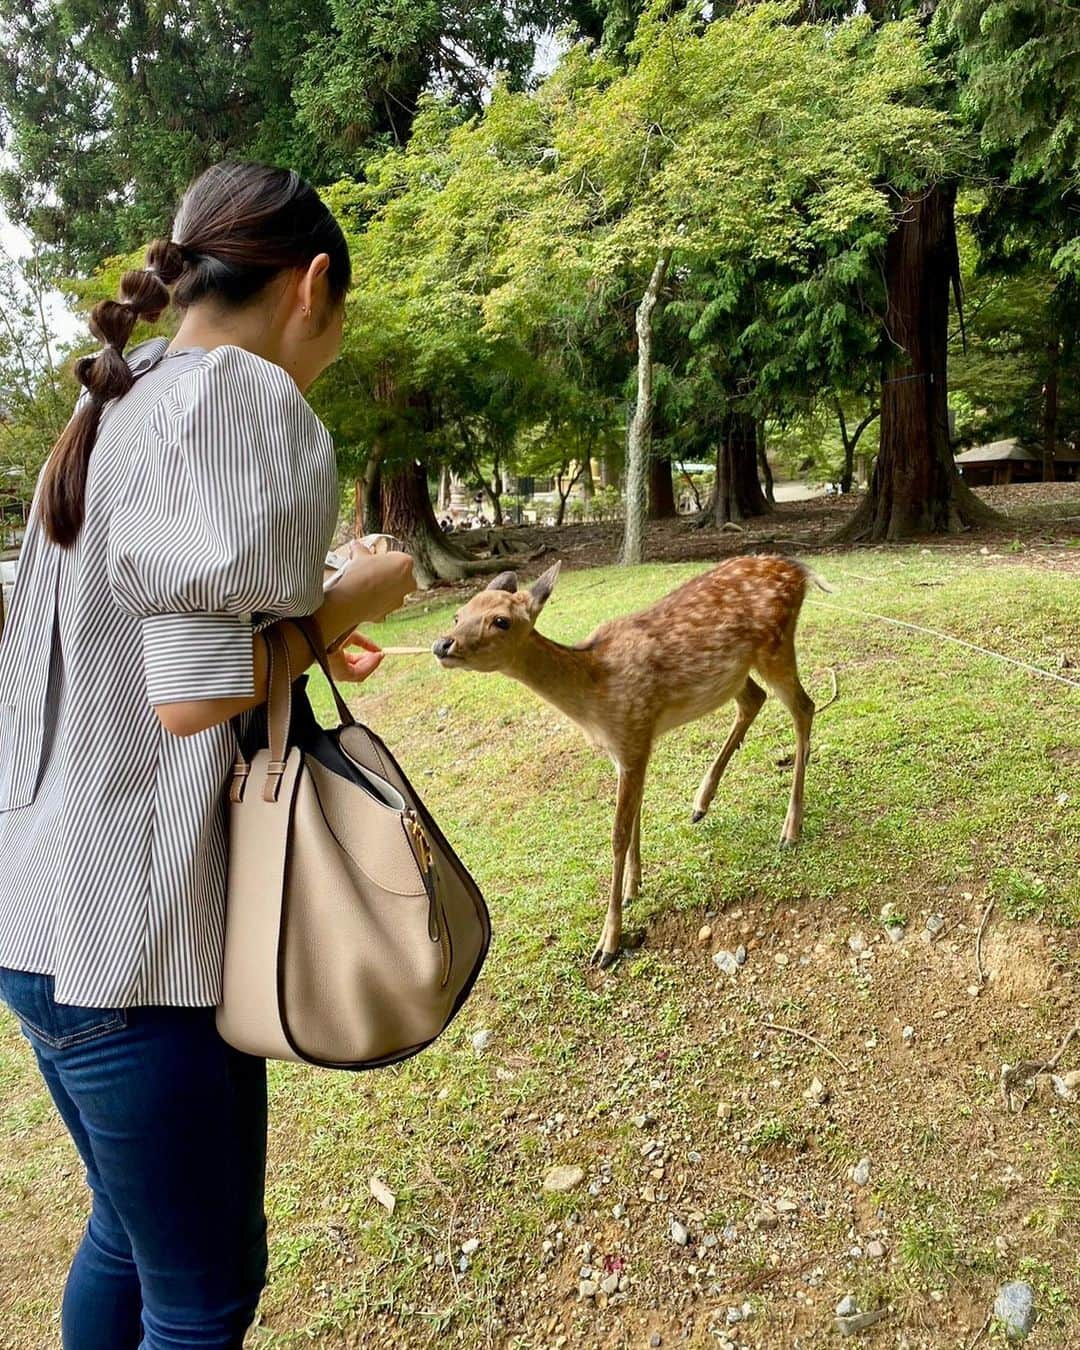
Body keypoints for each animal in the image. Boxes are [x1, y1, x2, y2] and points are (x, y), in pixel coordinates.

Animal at [429, 553, 826, 966]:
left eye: (501, 621)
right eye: (459, 614)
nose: (442, 644)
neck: (593, 696)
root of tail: (799, 570)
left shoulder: (632, 735)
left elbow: (618, 834)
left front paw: (608, 941)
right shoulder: (634, 744)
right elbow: (635, 814)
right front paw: (633, 887)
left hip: (776, 645)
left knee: (804, 707)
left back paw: (790, 828)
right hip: (736, 674)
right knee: (754, 699)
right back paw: (701, 803)